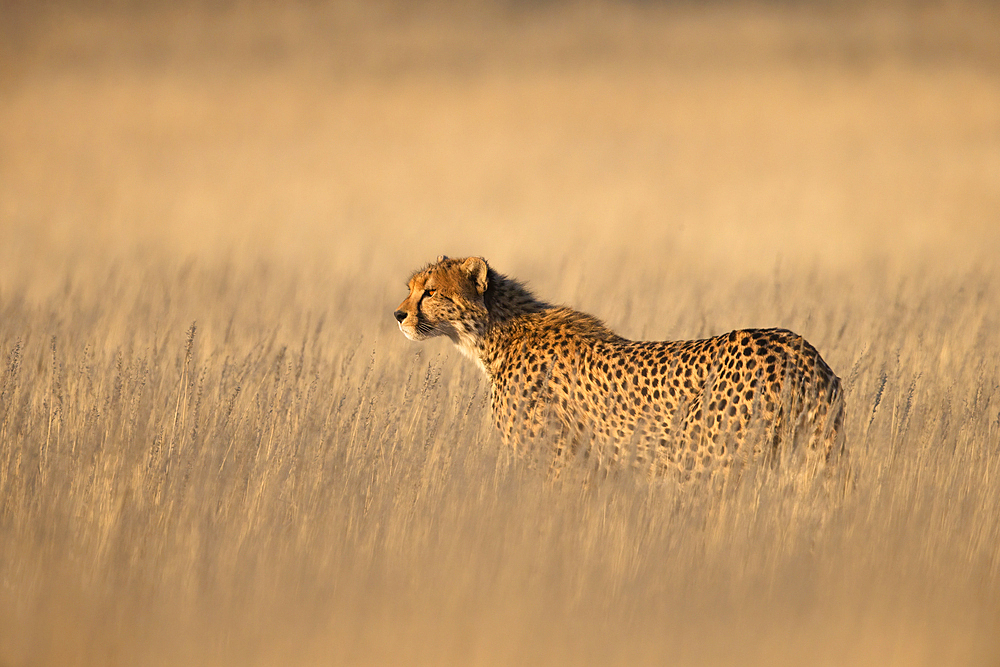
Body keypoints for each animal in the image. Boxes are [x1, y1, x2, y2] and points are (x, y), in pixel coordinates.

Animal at [390, 256, 844, 480]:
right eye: (410, 288)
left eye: (430, 292)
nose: (398, 315)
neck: (495, 334)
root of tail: (797, 348)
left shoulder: (556, 462)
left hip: (705, 464)